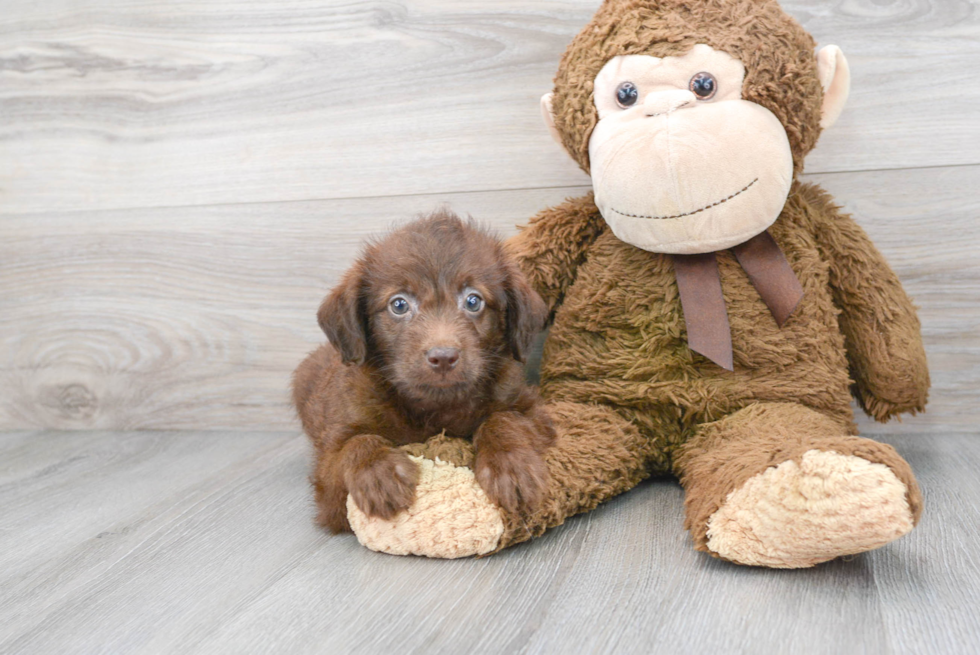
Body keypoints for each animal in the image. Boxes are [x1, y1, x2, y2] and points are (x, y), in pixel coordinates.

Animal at [290, 210, 556, 532]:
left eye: (473, 301)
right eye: (399, 305)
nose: (443, 357)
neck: (434, 407)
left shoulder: (535, 412)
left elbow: (504, 419)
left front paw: (510, 465)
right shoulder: (328, 481)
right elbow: (355, 443)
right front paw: (378, 473)